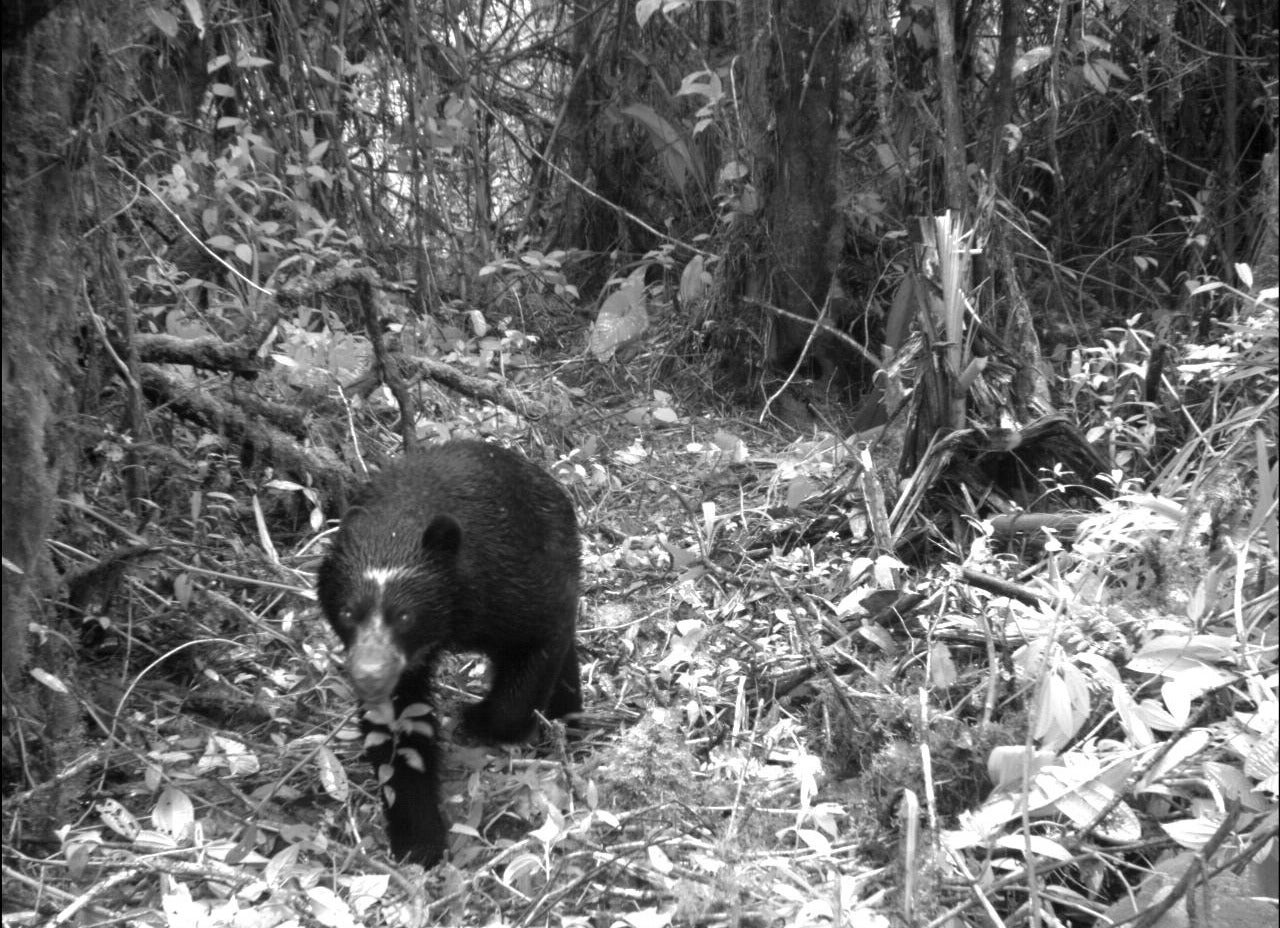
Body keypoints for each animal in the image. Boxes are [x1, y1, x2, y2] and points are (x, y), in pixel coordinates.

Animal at [316, 439, 582, 865]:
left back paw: (568, 719)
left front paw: (478, 720)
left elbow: (542, 633)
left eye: (404, 616)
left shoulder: (507, 576)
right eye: (347, 613)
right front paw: (419, 841)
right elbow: (401, 731)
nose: (369, 676)